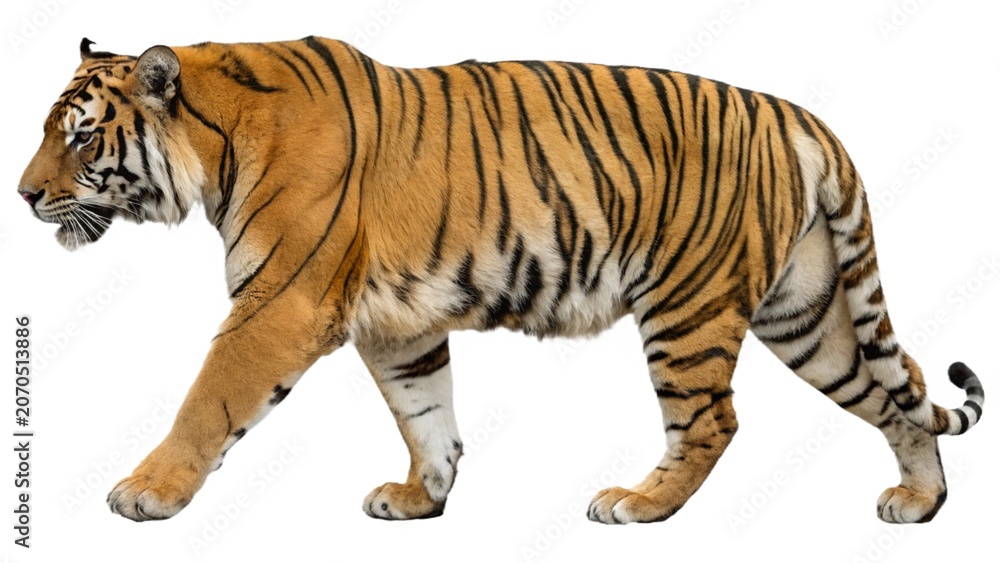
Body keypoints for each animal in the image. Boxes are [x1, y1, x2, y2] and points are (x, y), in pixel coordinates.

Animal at [18, 36, 984, 525]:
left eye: (80, 135)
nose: (23, 194)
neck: (213, 144)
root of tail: (797, 114)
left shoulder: (279, 303)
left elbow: (208, 399)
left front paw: (146, 490)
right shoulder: (398, 324)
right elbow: (428, 414)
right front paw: (422, 496)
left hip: (690, 304)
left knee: (714, 419)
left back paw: (640, 503)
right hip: (807, 313)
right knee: (900, 388)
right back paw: (919, 502)